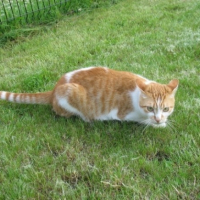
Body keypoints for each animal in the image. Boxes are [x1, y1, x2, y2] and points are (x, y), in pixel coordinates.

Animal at [0, 66, 178, 127]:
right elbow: (142, 120)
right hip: (69, 94)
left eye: (166, 109)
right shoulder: (123, 114)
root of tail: (54, 89)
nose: (158, 118)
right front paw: (158, 124)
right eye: (150, 108)